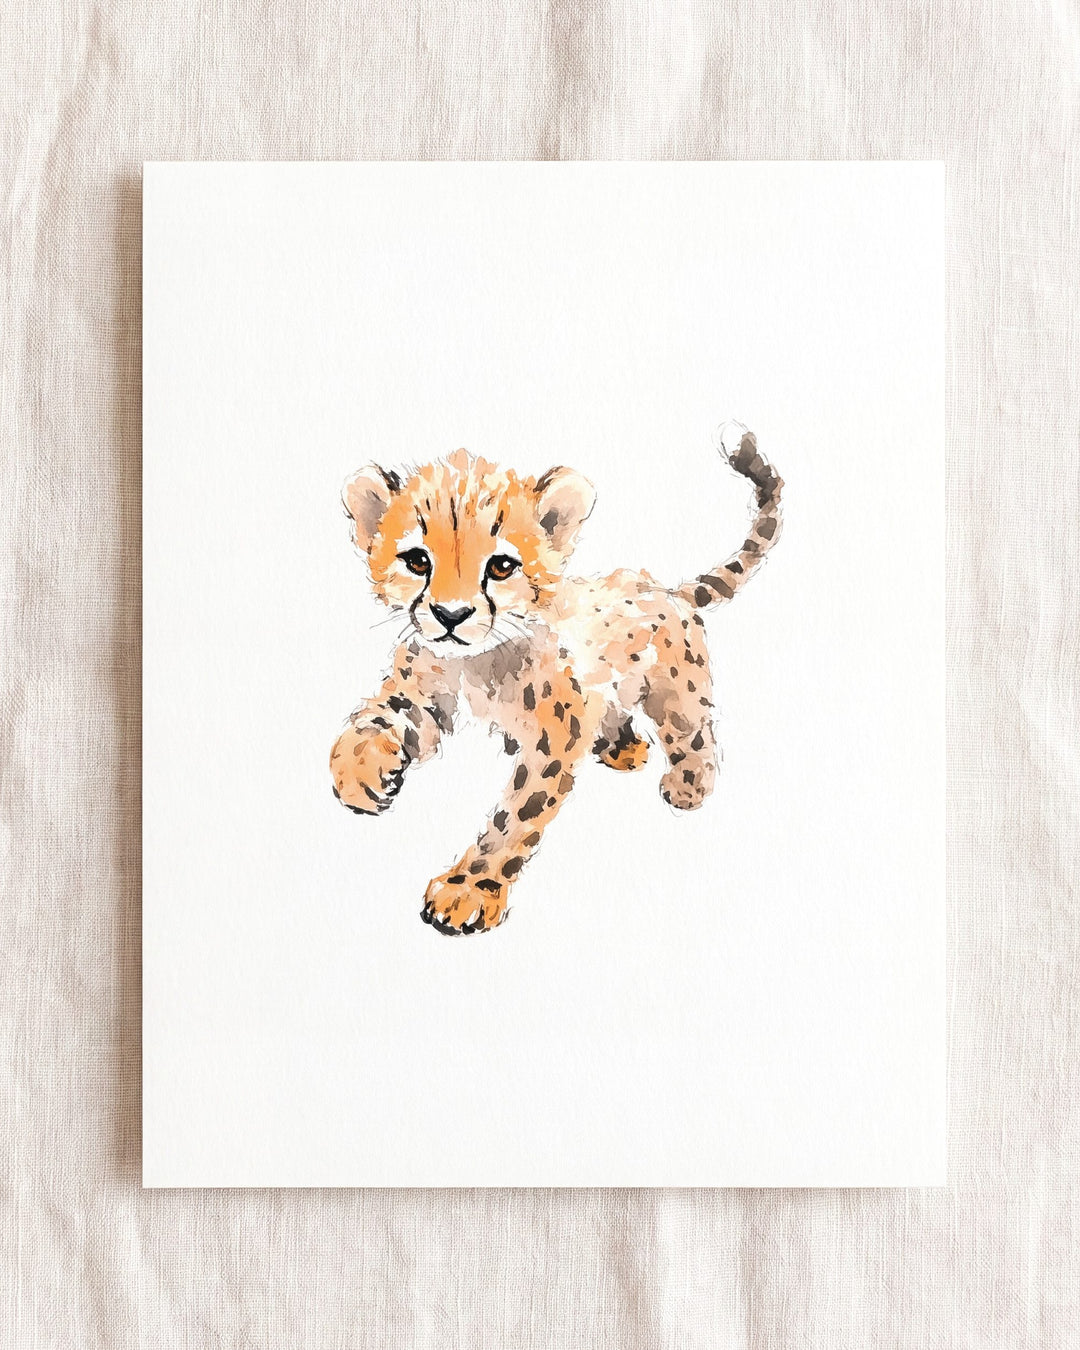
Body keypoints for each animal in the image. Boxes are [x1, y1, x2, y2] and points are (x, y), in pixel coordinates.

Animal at [330, 422, 783, 935]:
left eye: (501, 566)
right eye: (417, 561)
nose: (450, 615)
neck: (476, 663)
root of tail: (663, 587)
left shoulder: (555, 736)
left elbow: (513, 819)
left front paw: (469, 889)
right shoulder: (419, 694)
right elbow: (368, 726)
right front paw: (361, 778)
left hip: (675, 688)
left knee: (692, 729)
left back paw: (689, 786)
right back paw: (622, 748)